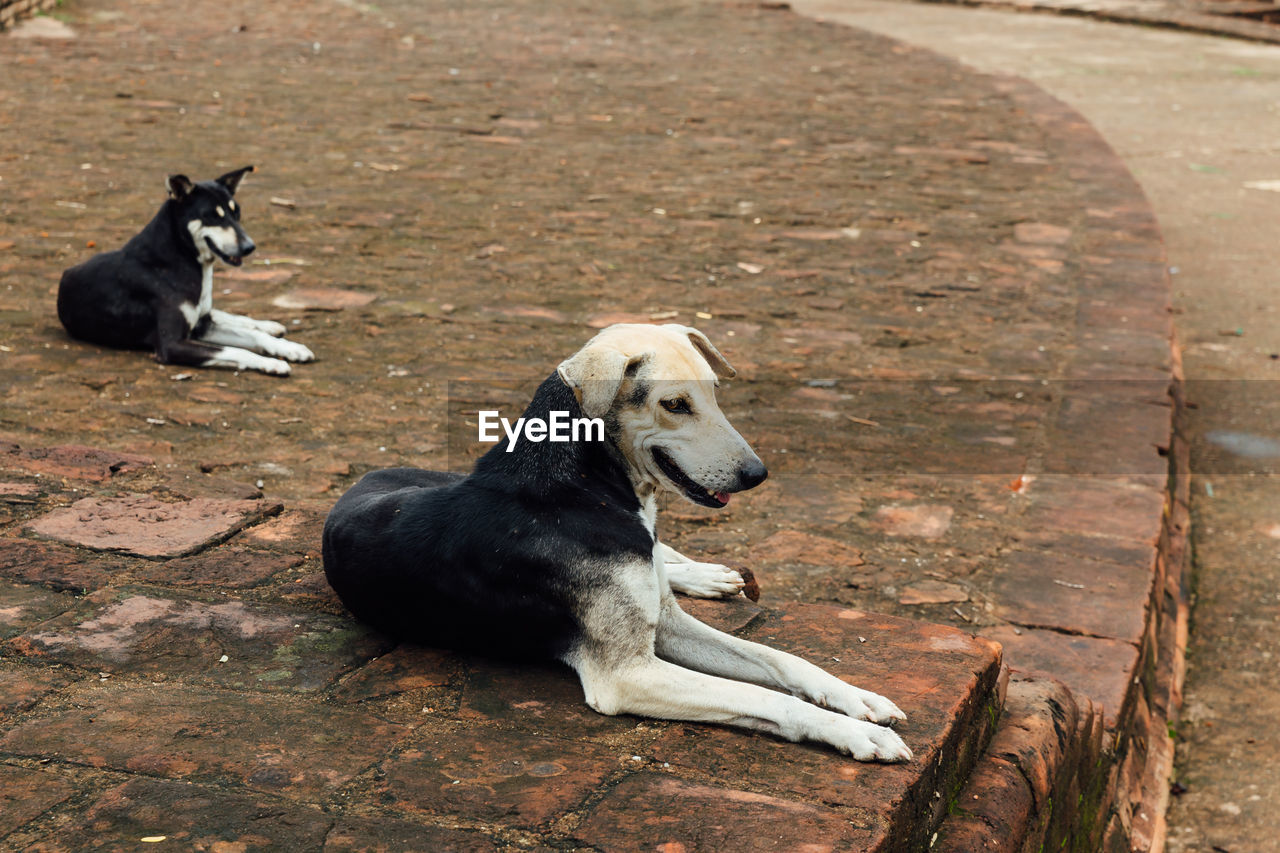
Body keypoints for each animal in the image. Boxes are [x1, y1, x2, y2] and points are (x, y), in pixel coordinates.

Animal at [55, 167, 317, 373]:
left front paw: (289, 348)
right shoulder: (172, 344)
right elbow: (233, 349)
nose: (249, 247)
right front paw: (272, 363)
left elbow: (251, 336)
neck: (181, 259)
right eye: (212, 216)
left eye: (237, 212)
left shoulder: (201, 327)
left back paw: (269, 326)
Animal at [325, 324, 916, 758]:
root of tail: (366, 475)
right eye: (674, 404)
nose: (757, 475)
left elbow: (782, 661)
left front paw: (857, 698)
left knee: (666, 555)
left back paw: (707, 574)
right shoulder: (628, 673)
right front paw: (858, 733)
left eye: (714, 392)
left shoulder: (668, 626)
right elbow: (763, 695)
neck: (579, 484)